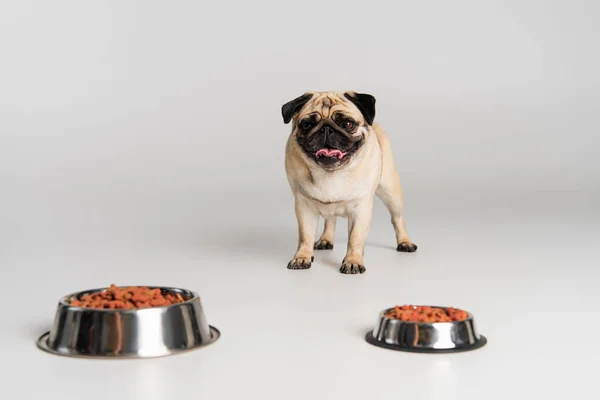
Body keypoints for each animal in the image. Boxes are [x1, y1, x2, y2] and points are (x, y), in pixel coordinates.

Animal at [282, 91, 418, 276]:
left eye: (347, 124)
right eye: (307, 125)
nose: (326, 129)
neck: (331, 173)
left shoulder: (361, 209)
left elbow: (355, 238)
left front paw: (353, 261)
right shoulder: (304, 207)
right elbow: (305, 236)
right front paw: (302, 257)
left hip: (391, 192)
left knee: (397, 218)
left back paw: (405, 242)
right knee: (330, 220)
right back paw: (325, 239)